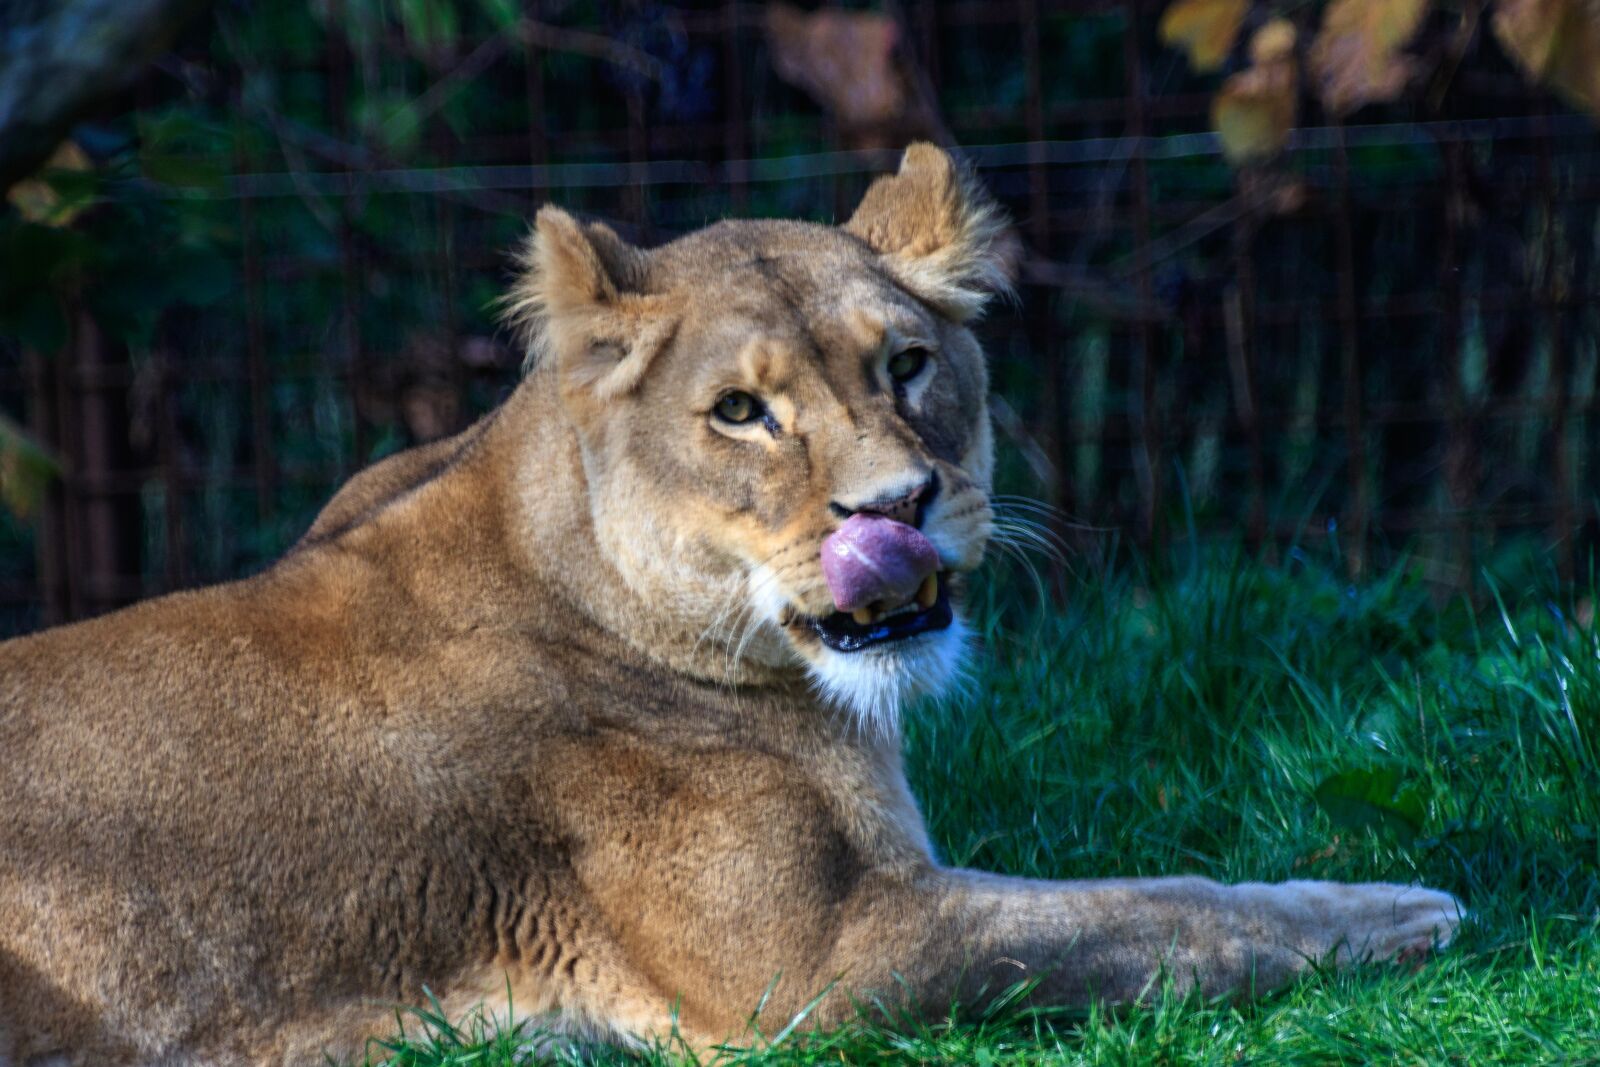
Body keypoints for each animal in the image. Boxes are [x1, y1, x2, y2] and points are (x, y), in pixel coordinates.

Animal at [0, 144, 1460, 1066]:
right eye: (741, 412)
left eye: (908, 363)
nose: (898, 504)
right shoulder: (819, 964)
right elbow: (1153, 912)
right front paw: (1400, 909)